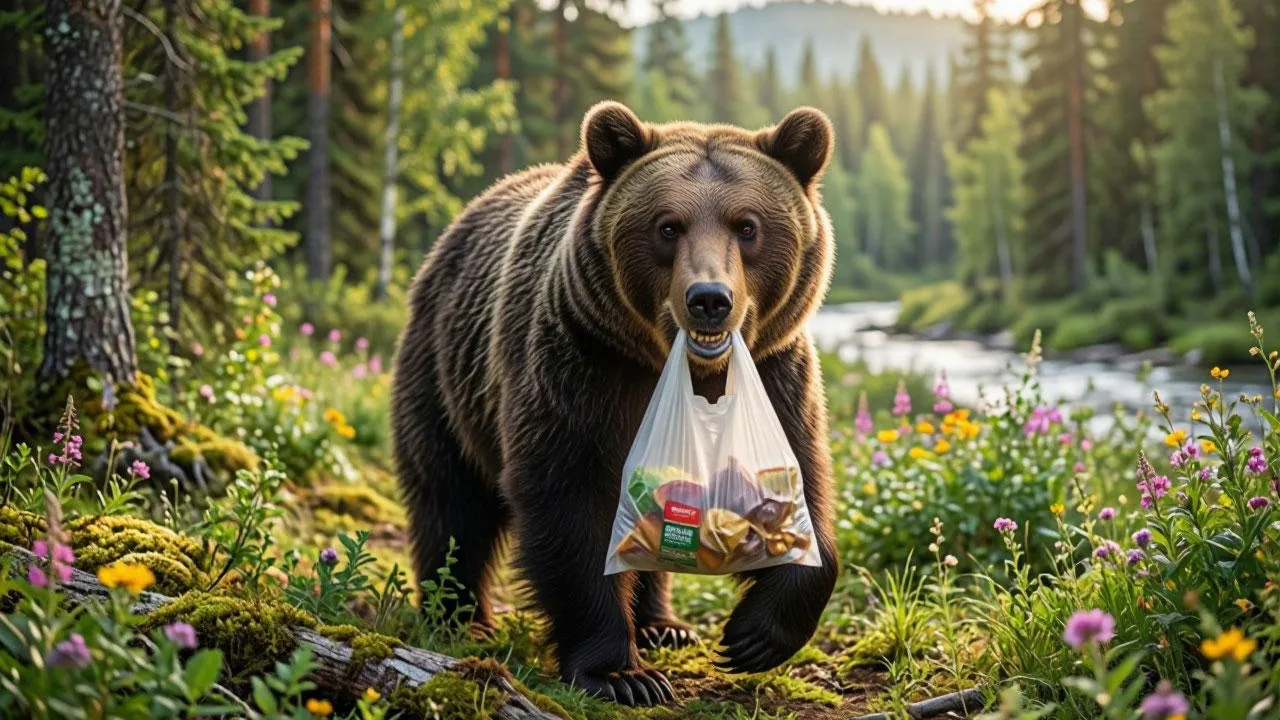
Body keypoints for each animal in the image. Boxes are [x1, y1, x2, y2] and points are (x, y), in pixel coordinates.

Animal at [390, 101, 839, 706]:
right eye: (667, 226)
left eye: (747, 226)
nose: (709, 300)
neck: (685, 370)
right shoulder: (583, 368)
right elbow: (569, 501)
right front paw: (621, 675)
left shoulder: (774, 372)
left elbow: (799, 482)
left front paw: (752, 636)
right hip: (444, 374)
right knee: (450, 499)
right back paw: (457, 615)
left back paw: (663, 626)